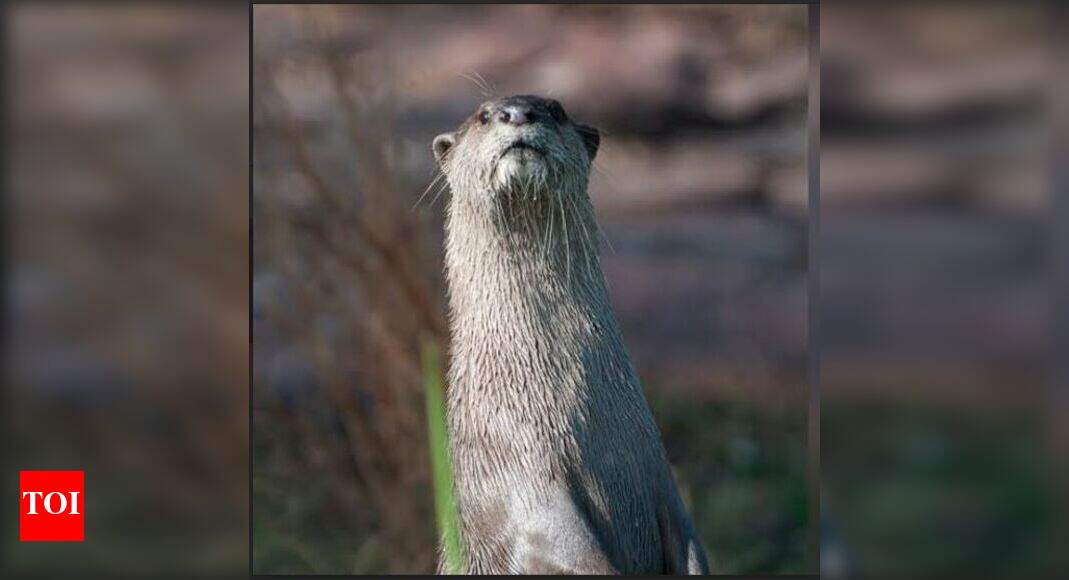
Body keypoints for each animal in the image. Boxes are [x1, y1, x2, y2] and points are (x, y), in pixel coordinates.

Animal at [432, 95, 710, 575]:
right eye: (484, 116)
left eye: (556, 110)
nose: (517, 113)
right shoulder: (517, 472)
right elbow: (558, 541)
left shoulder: (656, 471)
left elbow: (690, 541)